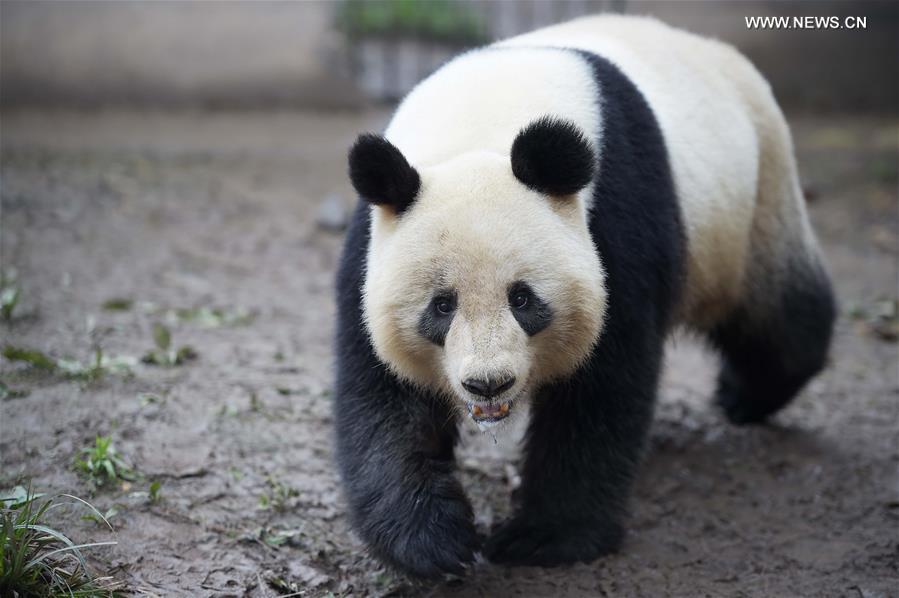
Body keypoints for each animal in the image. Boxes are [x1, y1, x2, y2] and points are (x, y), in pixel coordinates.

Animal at [334, 12, 840, 576]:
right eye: (442, 306)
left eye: (522, 299)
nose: (488, 384)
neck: (482, 124)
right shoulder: (372, 243)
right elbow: (382, 395)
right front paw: (433, 541)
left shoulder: (614, 215)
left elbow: (603, 384)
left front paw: (543, 537)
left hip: (753, 201)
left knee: (777, 313)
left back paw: (745, 395)